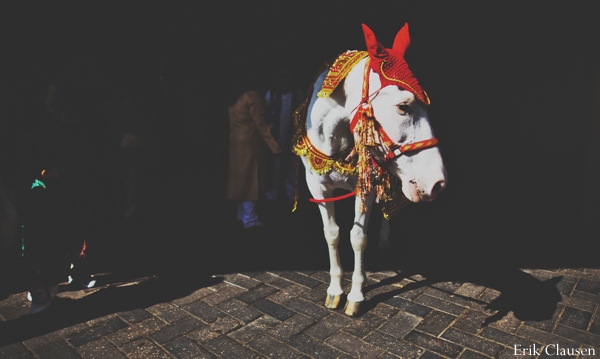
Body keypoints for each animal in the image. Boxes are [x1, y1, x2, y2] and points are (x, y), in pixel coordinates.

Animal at [292, 22, 448, 316]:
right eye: (404, 106)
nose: (437, 183)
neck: (338, 139)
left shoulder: (366, 188)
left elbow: (358, 237)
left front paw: (356, 295)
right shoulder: (316, 186)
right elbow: (332, 234)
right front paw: (335, 290)